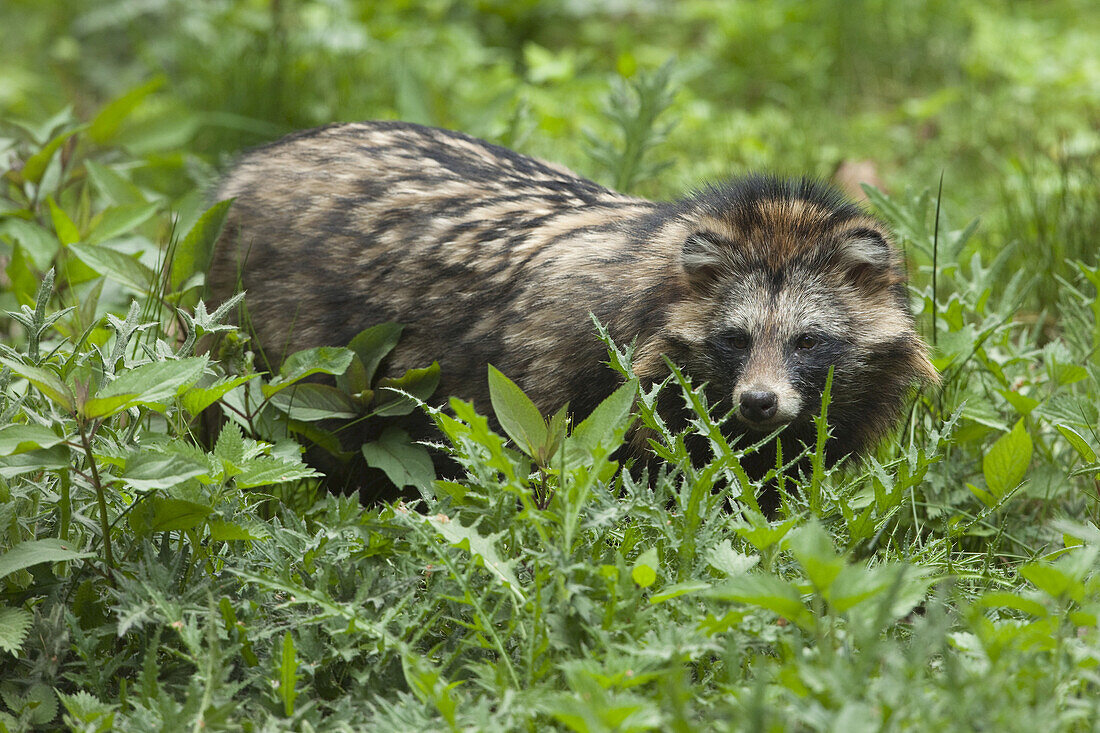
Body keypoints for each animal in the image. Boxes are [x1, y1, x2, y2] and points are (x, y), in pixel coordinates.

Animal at [212, 119, 937, 499]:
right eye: (734, 338)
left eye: (807, 341)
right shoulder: (574, 395)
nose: (758, 403)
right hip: (284, 349)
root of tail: (258, 161)